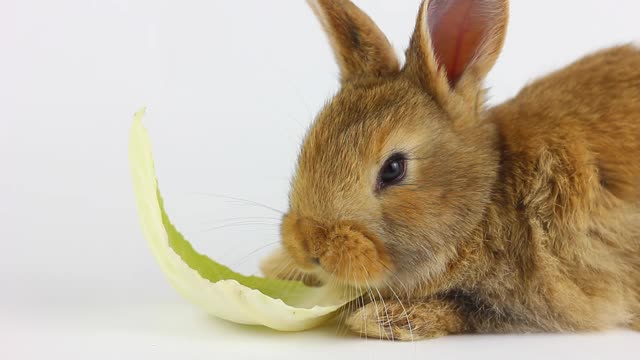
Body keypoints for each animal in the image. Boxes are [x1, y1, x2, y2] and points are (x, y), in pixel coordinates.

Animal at [260, 0, 640, 340]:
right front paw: (279, 268)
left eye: (394, 169)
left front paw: (381, 319)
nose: (308, 244)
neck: (487, 197)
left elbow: (466, 310)